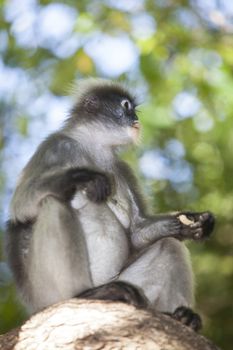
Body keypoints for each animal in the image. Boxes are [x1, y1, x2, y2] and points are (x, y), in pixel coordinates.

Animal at [5, 78, 214, 330]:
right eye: (126, 106)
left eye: (134, 109)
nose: (136, 118)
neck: (94, 149)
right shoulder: (56, 146)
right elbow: (21, 205)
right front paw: (84, 177)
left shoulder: (122, 169)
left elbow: (137, 232)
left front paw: (193, 222)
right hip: (46, 293)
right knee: (53, 203)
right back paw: (85, 294)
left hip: (128, 287)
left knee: (170, 247)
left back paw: (182, 316)